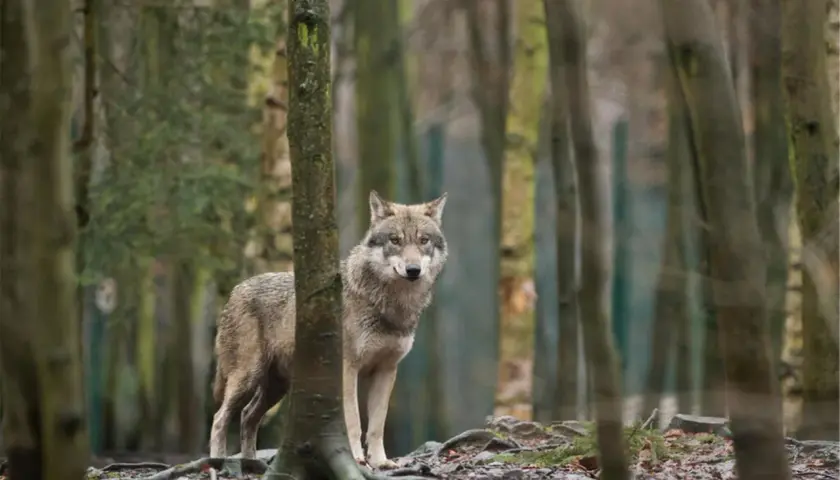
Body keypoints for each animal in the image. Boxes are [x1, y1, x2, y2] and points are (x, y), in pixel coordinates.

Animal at [208, 190, 448, 469]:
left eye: (423, 240)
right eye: (395, 240)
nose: (413, 270)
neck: (389, 304)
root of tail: (235, 290)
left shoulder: (387, 370)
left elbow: (377, 425)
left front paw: (380, 462)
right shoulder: (347, 368)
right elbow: (353, 421)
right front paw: (356, 459)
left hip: (277, 387)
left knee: (247, 416)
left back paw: (251, 464)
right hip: (247, 378)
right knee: (220, 418)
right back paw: (218, 462)